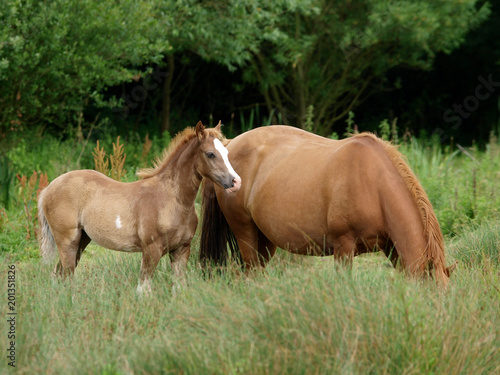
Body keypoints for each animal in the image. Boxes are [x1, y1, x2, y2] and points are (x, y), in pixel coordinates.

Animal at [39, 122, 242, 294]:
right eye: (210, 154)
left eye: (226, 152)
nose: (235, 182)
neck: (173, 200)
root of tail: (48, 188)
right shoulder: (151, 250)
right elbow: (144, 290)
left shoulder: (181, 249)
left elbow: (179, 287)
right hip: (68, 241)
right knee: (66, 275)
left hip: (82, 240)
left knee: (59, 275)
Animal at [201, 125, 456, 286]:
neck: (373, 184)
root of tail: (230, 145)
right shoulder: (343, 247)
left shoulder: (392, 248)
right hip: (245, 233)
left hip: (265, 240)